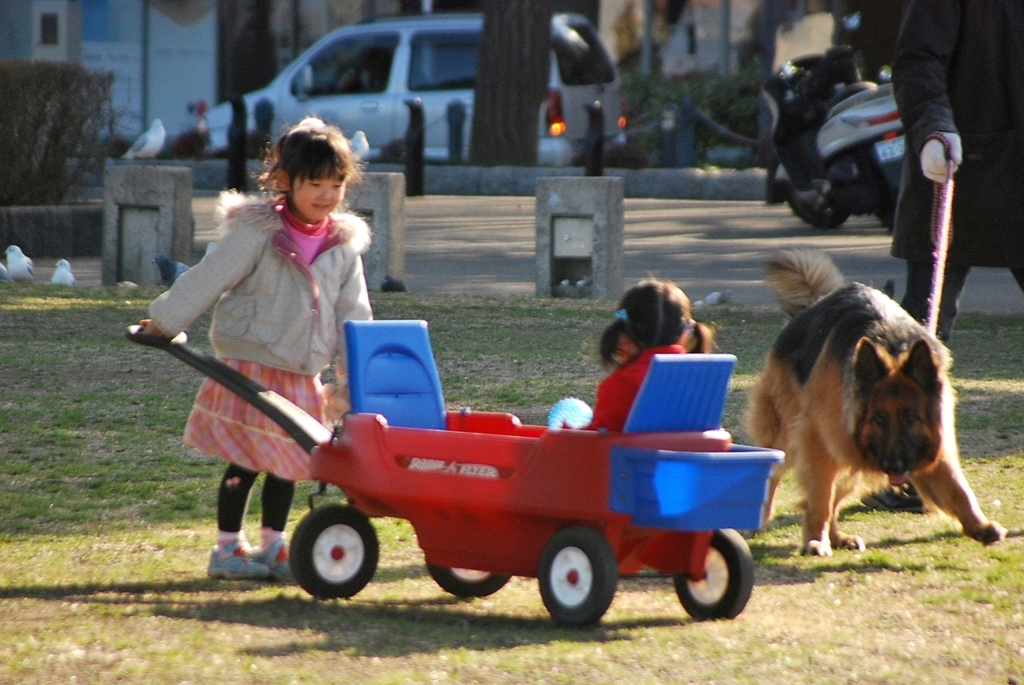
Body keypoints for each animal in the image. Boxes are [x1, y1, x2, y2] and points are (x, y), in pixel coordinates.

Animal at [745, 248, 1007, 552]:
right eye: (878, 418)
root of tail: (814, 304)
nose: (895, 467)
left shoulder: (935, 444)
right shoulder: (818, 441)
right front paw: (815, 539)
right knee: (775, 474)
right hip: (790, 435)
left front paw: (979, 526)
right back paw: (760, 521)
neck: (892, 348)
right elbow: (820, 497)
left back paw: (838, 537)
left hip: (851, 452)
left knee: (838, 493)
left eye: (911, 418)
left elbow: (958, 488)